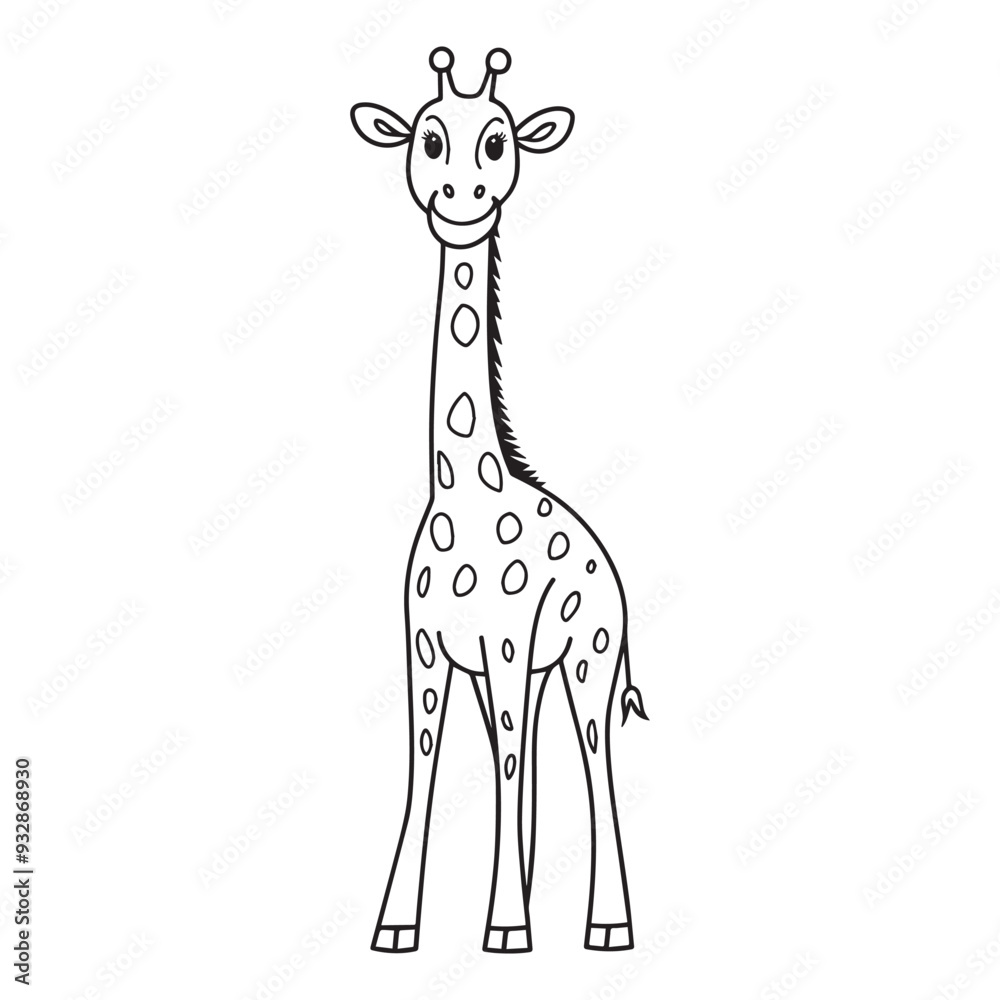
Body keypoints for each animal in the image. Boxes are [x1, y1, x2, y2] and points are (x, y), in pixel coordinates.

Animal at [351, 47, 647, 954]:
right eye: (427, 138)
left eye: (498, 143)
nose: (461, 204)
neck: (462, 494)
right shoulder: (430, 649)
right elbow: (429, 764)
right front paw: (399, 924)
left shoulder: (508, 644)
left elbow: (513, 766)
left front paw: (507, 926)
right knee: (527, 758)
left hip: (586, 657)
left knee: (591, 759)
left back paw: (605, 923)